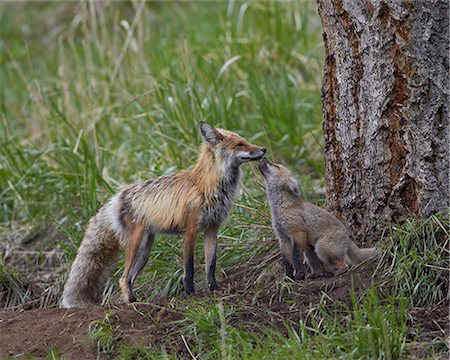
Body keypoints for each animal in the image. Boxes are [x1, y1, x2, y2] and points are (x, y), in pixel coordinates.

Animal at [59, 121, 264, 306]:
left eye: (245, 140)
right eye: (240, 144)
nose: (263, 149)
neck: (209, 185)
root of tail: (117, 196)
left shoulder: (212, 228)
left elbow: (210, 266)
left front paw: (214, 289)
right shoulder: (191, 229)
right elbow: (189, 267)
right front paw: (190, 293)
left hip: (145, 250)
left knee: (129, 277)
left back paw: (134, 300)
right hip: (136, 244)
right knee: (123, 278)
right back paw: (131, 302)